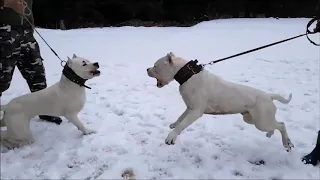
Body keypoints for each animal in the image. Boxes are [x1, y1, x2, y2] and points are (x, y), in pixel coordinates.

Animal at [146, 52, 294, 152]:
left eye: (155, 66)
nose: (147, 69)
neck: (188, 75)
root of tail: (269, 96)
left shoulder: (196, 112)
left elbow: (182, 124)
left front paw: (171, 137)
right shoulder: (190, 107)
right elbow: (181, 118)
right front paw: (174, 124)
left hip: (261, 122)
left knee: (281, 125)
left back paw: (287, 143)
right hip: (252, 119)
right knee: (276, 125)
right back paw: (271, 134)